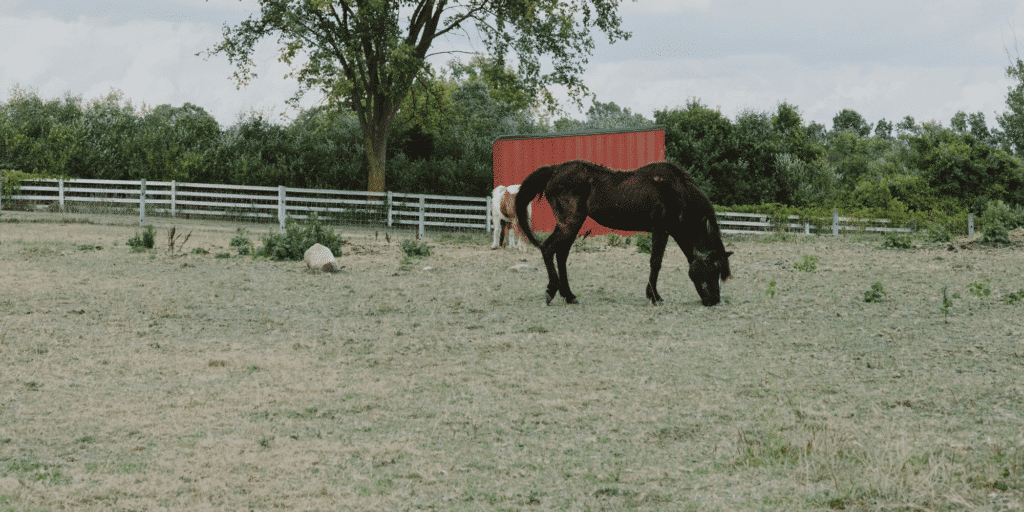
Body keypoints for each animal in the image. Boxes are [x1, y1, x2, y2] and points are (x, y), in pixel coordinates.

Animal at [516, 159, 733, 305]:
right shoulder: (661, 230)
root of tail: (555, 169)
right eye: (713, 269)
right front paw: (655, 296)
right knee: (547, 248)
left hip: (572, 226)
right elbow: (656, 262)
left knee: (561, 255)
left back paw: (569, 296)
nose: (715, 301)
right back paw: (551, 291)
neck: (675, 192)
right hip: (569, 223)